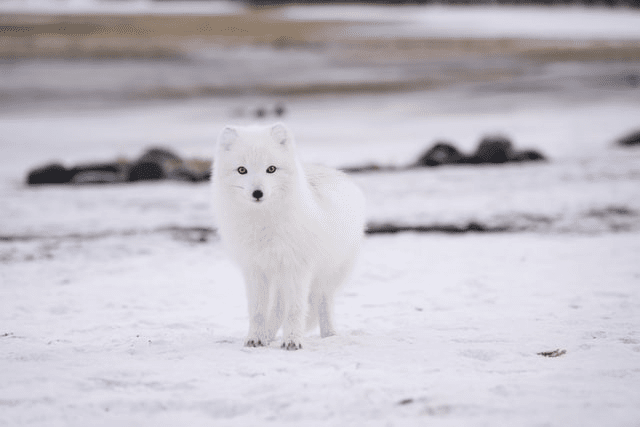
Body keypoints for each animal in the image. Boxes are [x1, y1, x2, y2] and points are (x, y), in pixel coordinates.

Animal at [211, 123, 366, 350]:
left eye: (271, 169)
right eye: (242, 170)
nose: (257, 193)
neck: (264, 226)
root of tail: (336, 172)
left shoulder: (297, 268)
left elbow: (294, 309)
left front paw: (293, 340)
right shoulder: (254, 269)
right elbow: (258, 310)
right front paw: (255, 338)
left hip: (327, 274)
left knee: (323, 302)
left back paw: (329, 334)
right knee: (277, 309)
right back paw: (267, 336)